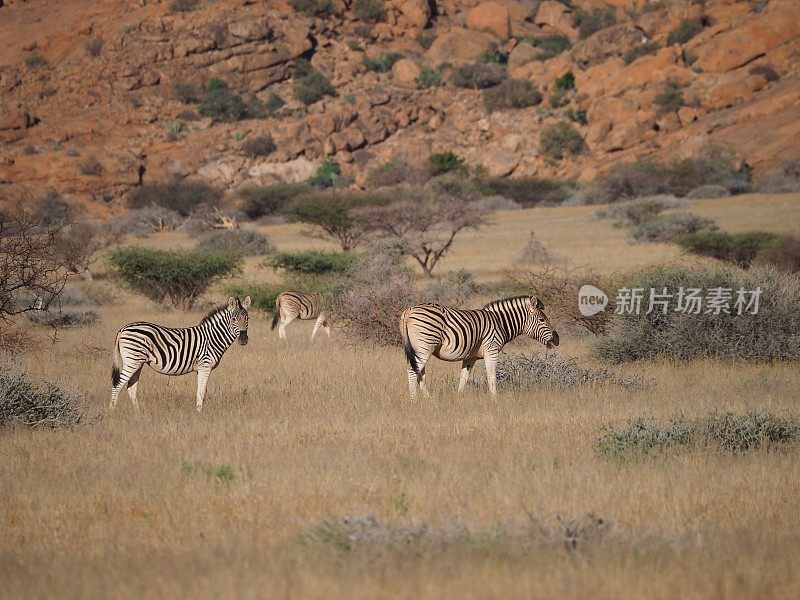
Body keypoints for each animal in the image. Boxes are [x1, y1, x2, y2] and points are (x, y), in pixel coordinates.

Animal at [110, 296, 250, 412]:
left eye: (247, 319)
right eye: (233, 319)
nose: (243, 339)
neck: (212, 338)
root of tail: (123, 329)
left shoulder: (200, 368)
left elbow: (202, 391)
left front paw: (199, 410)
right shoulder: (205, 365)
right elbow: (201, 392)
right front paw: (199, 413)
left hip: (137, 362)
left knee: (131, 388)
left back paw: (138, 413)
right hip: (132, 360)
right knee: (117, 385)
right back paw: (112, 412)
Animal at [398, 296, 556, 398]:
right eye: (542, 320)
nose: (557, 339)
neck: (500, 323)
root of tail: (409, 310)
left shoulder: (470, 357)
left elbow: (464, 378)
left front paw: (459, 397)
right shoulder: (491, 350)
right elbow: (491, 375)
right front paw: (494, 399)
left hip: (419, 349)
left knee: (420, 373)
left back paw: (428, 398)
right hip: (425, 347)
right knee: (413, 371)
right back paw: (414, 400)